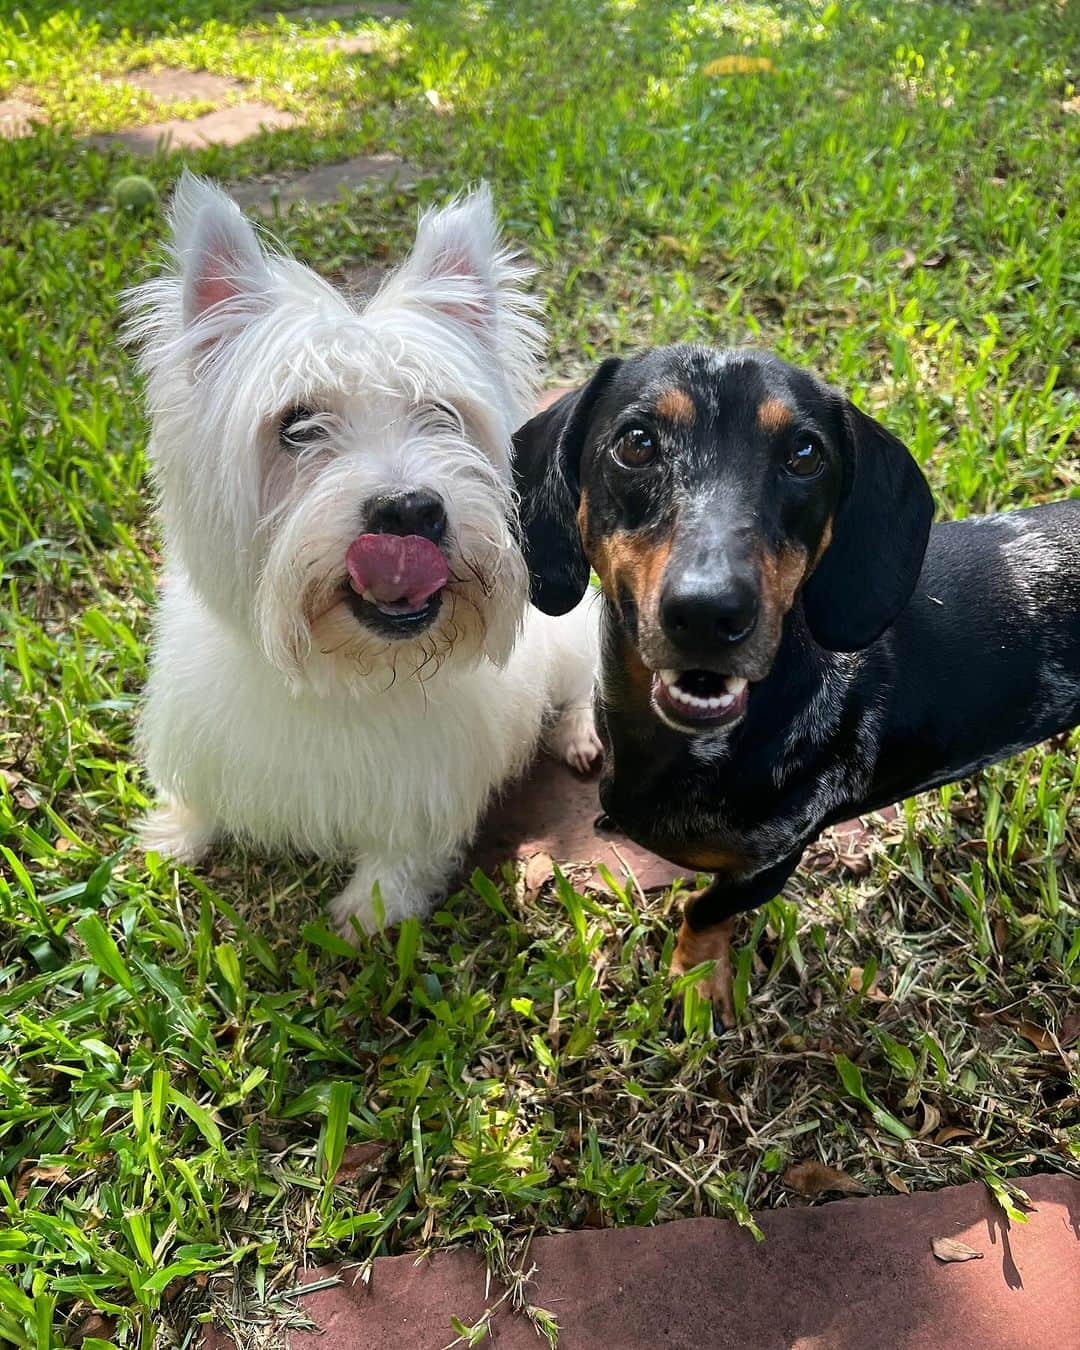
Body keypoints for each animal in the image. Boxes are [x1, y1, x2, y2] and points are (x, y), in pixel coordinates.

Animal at [128, 176, 599, 939]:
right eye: (296, 426)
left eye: (443, 413)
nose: (409, 512)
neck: (345, 674)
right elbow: (198, 795)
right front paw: (174, 835)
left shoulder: (425, 791)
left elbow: (401, 855)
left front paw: (367, 914)